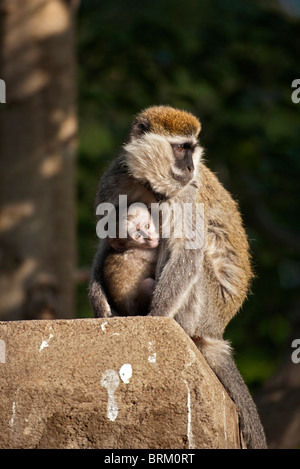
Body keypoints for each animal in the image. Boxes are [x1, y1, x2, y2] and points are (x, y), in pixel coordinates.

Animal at [89, 104, 268, 448]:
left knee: (188, 260)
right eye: (181, 148)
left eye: (192, 148)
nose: (189, 166)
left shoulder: (185, 194)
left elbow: (187, 249)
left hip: (206, 310)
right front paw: (99, 303)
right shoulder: (114, 178)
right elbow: (105, 242)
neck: (150, 185)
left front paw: (156, 319)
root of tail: (215, 329)